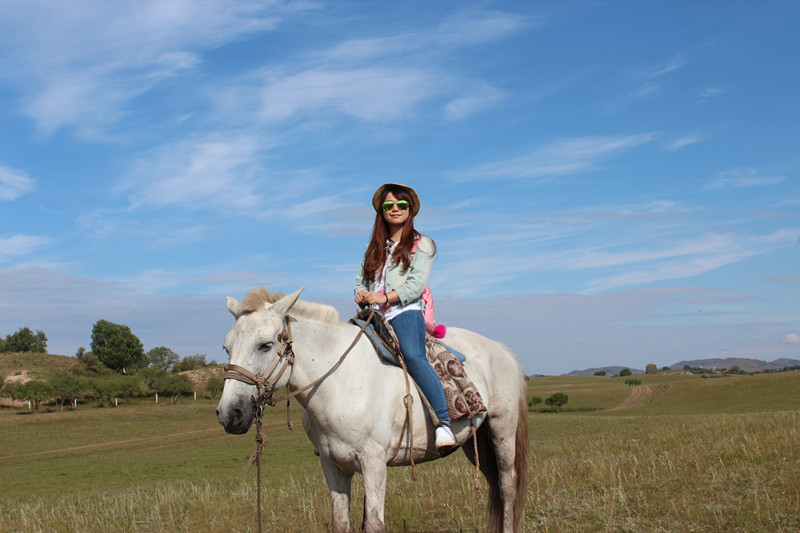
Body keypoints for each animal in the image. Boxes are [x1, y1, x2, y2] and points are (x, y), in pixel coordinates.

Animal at [216, 286, 528, 532]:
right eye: (227, 347)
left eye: (265, 345)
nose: (229, 414)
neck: (340, 382)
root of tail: (503, 351)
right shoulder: (332, 464)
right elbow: (341, 521)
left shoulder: (373, 462)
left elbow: (375, 524)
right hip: (478, 442)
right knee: (495, 487)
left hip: (501, 429)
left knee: (507, 488)